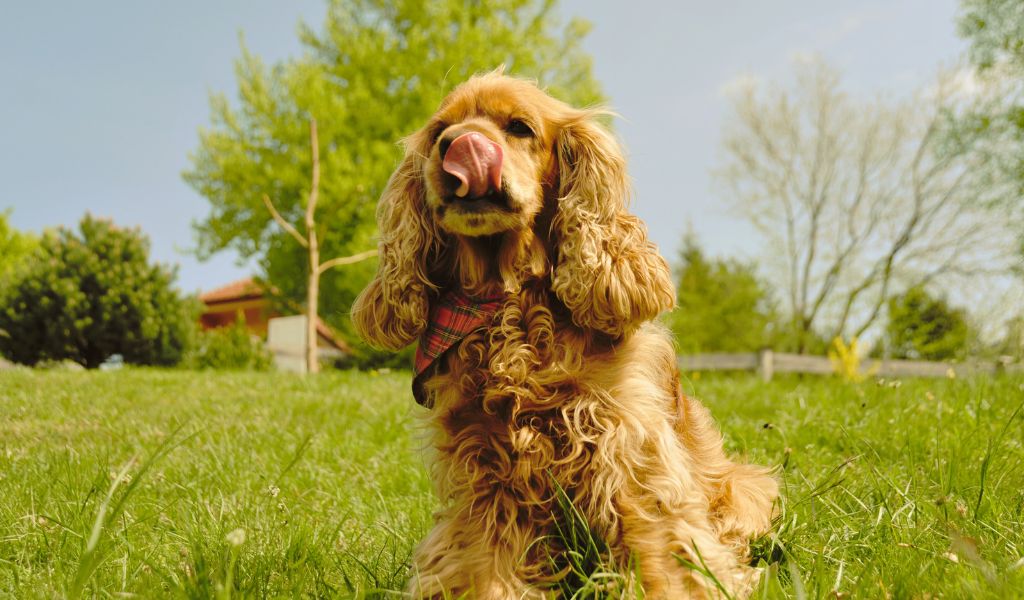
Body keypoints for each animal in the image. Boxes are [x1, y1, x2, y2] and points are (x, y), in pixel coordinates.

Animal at [352, 72, 774, 593]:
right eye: (437, 134)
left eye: (519, 127)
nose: (457, 145)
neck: (509, 302)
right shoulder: (481, 466)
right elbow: (480, 562)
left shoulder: (629, 444)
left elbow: (659, 544)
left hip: (746, 487)